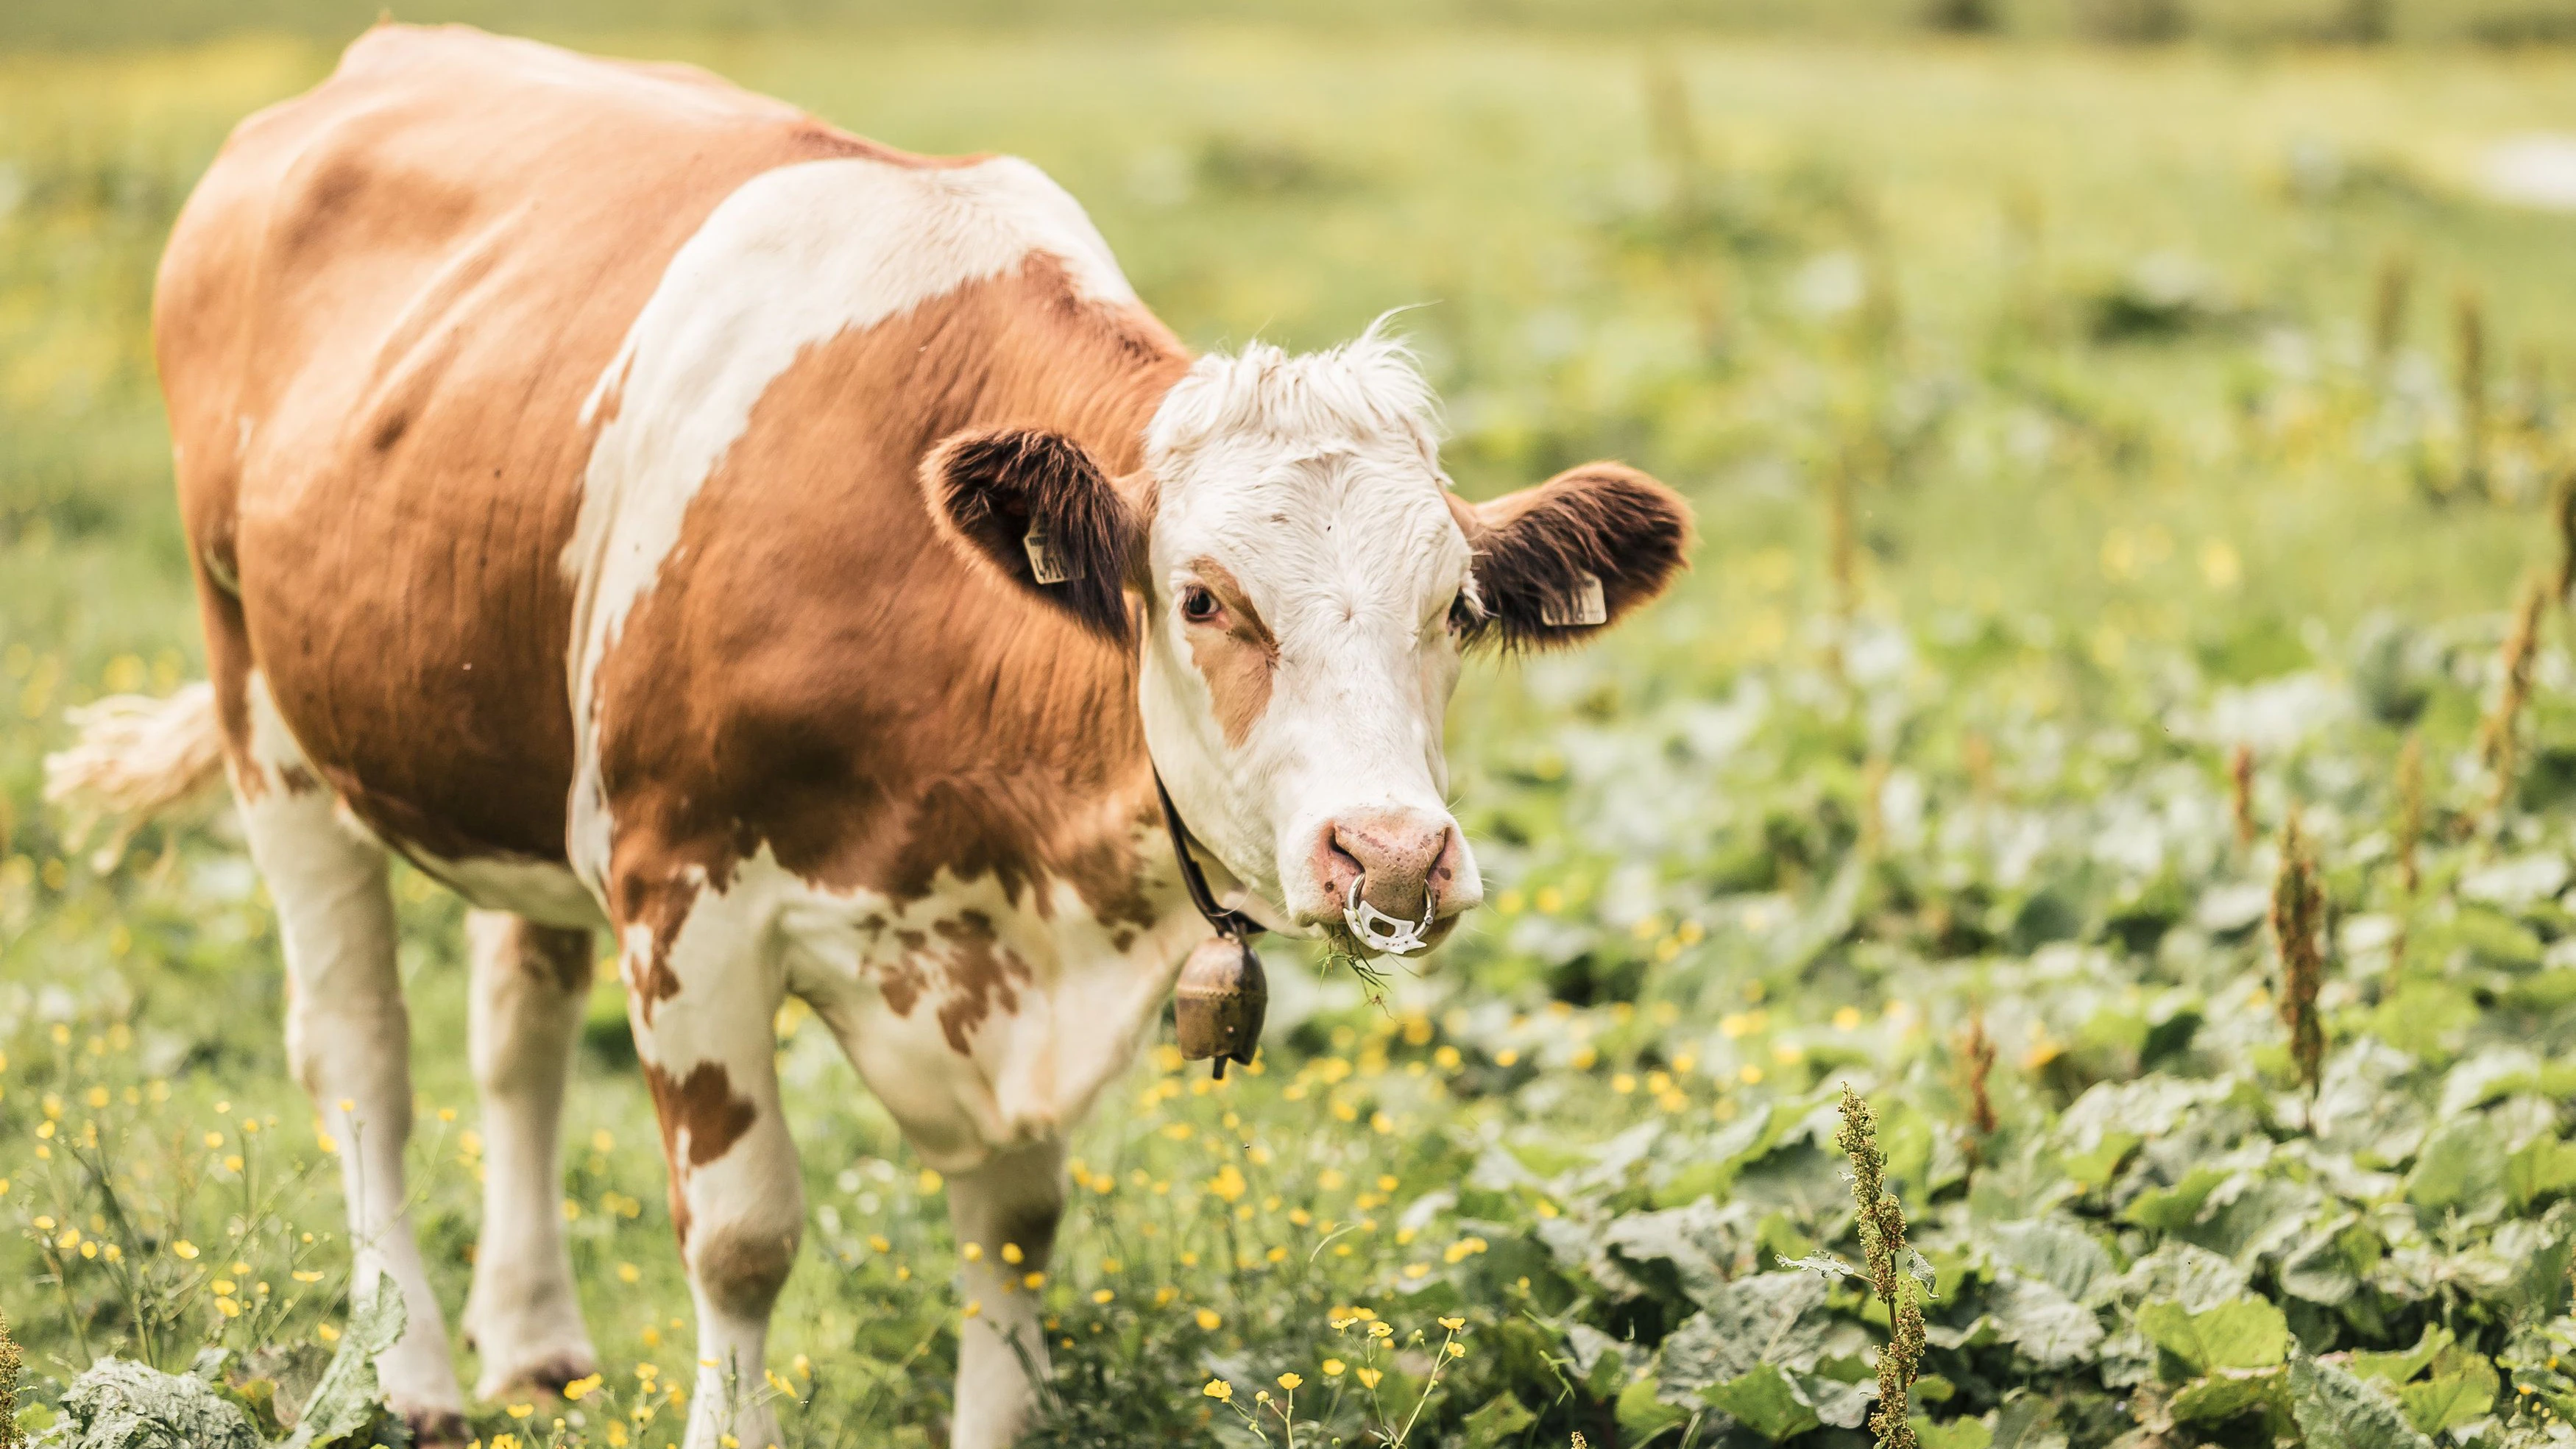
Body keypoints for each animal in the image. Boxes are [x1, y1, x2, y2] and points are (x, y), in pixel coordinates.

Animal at [46, 25, 1690, 1449]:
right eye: (1205, 597)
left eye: (1454, 607)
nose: (1394, 854)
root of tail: (383, 57)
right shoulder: (682, 894)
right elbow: (743, 1236)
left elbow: (1015, 1234)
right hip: (270, 713)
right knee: (360, 1055)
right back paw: (412, 1371)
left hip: (513, 761)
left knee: (514, 1026)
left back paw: (534, 1341)